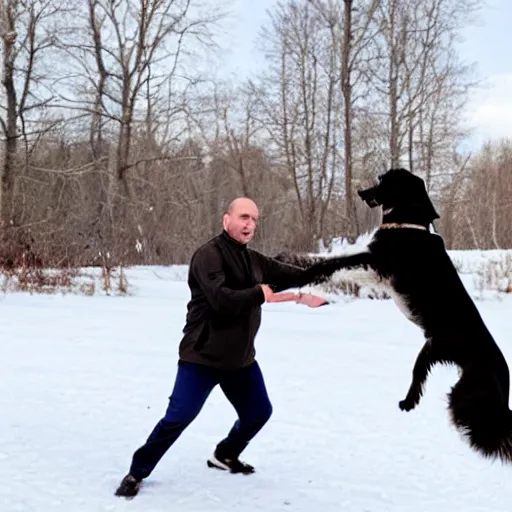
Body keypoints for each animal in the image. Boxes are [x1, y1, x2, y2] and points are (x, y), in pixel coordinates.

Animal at [276, 167, 512, 464]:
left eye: (382, 179)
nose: (360, 192)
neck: (408, 223)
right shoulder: (373, 267)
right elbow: (324, 259)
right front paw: (286, 259)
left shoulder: (374, 263)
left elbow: (330, 264)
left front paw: (292, 275)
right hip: (431, 353)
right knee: (418, 382)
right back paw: (406, 404)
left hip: (464, 397)